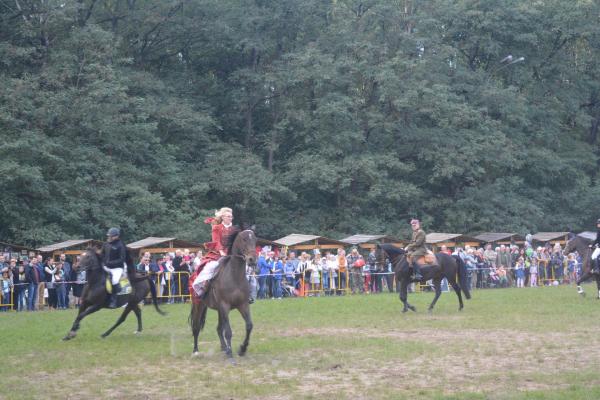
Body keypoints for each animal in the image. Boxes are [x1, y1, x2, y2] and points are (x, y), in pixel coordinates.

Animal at [190, 228, 255, 362]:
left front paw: (242, 349)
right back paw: (196, 351)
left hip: (219, 310)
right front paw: (231, 355)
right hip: (199, 305)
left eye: (255, 239)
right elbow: (228, 331)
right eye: (244, 239)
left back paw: (224, 348)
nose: (252, 260)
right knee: (196, 327)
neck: (234, 276)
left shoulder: (243, 305)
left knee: (219, 329)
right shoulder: (225, 306)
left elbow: (249, 326)